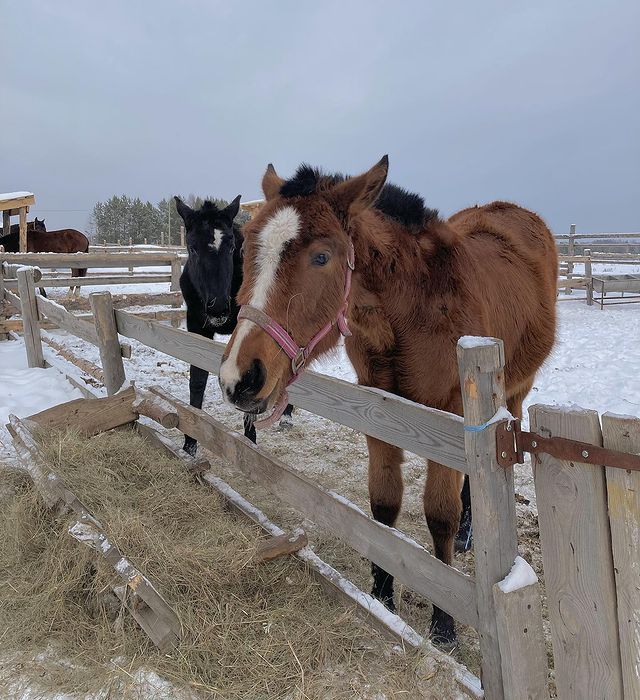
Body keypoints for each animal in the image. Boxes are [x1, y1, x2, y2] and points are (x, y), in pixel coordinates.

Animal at [176, 196, 294, 454]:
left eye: (231, 248)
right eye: (192, 247)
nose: (218, 307)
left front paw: (250, 443)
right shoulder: (197, 328)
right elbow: (197, 380)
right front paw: (190, 441)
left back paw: (287, 416)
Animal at [218, 156, 556, 648]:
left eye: (321, 257)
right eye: (247, 251)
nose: (239, 378)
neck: (410, 313)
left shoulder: (451, 418)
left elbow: (440, 517)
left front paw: (443, 624)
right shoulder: (377, 410)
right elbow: (383, 504)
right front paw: (381, 596)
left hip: (512, 392)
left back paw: (470, 532)